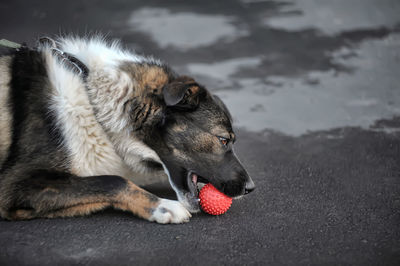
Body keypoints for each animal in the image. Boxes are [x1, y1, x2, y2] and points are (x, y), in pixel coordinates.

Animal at [0, 34, 255, 222]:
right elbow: (113, 181)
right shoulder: (16, 184)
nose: (251, 188)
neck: (96, 104)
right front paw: (162, 206)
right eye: (223, 140)